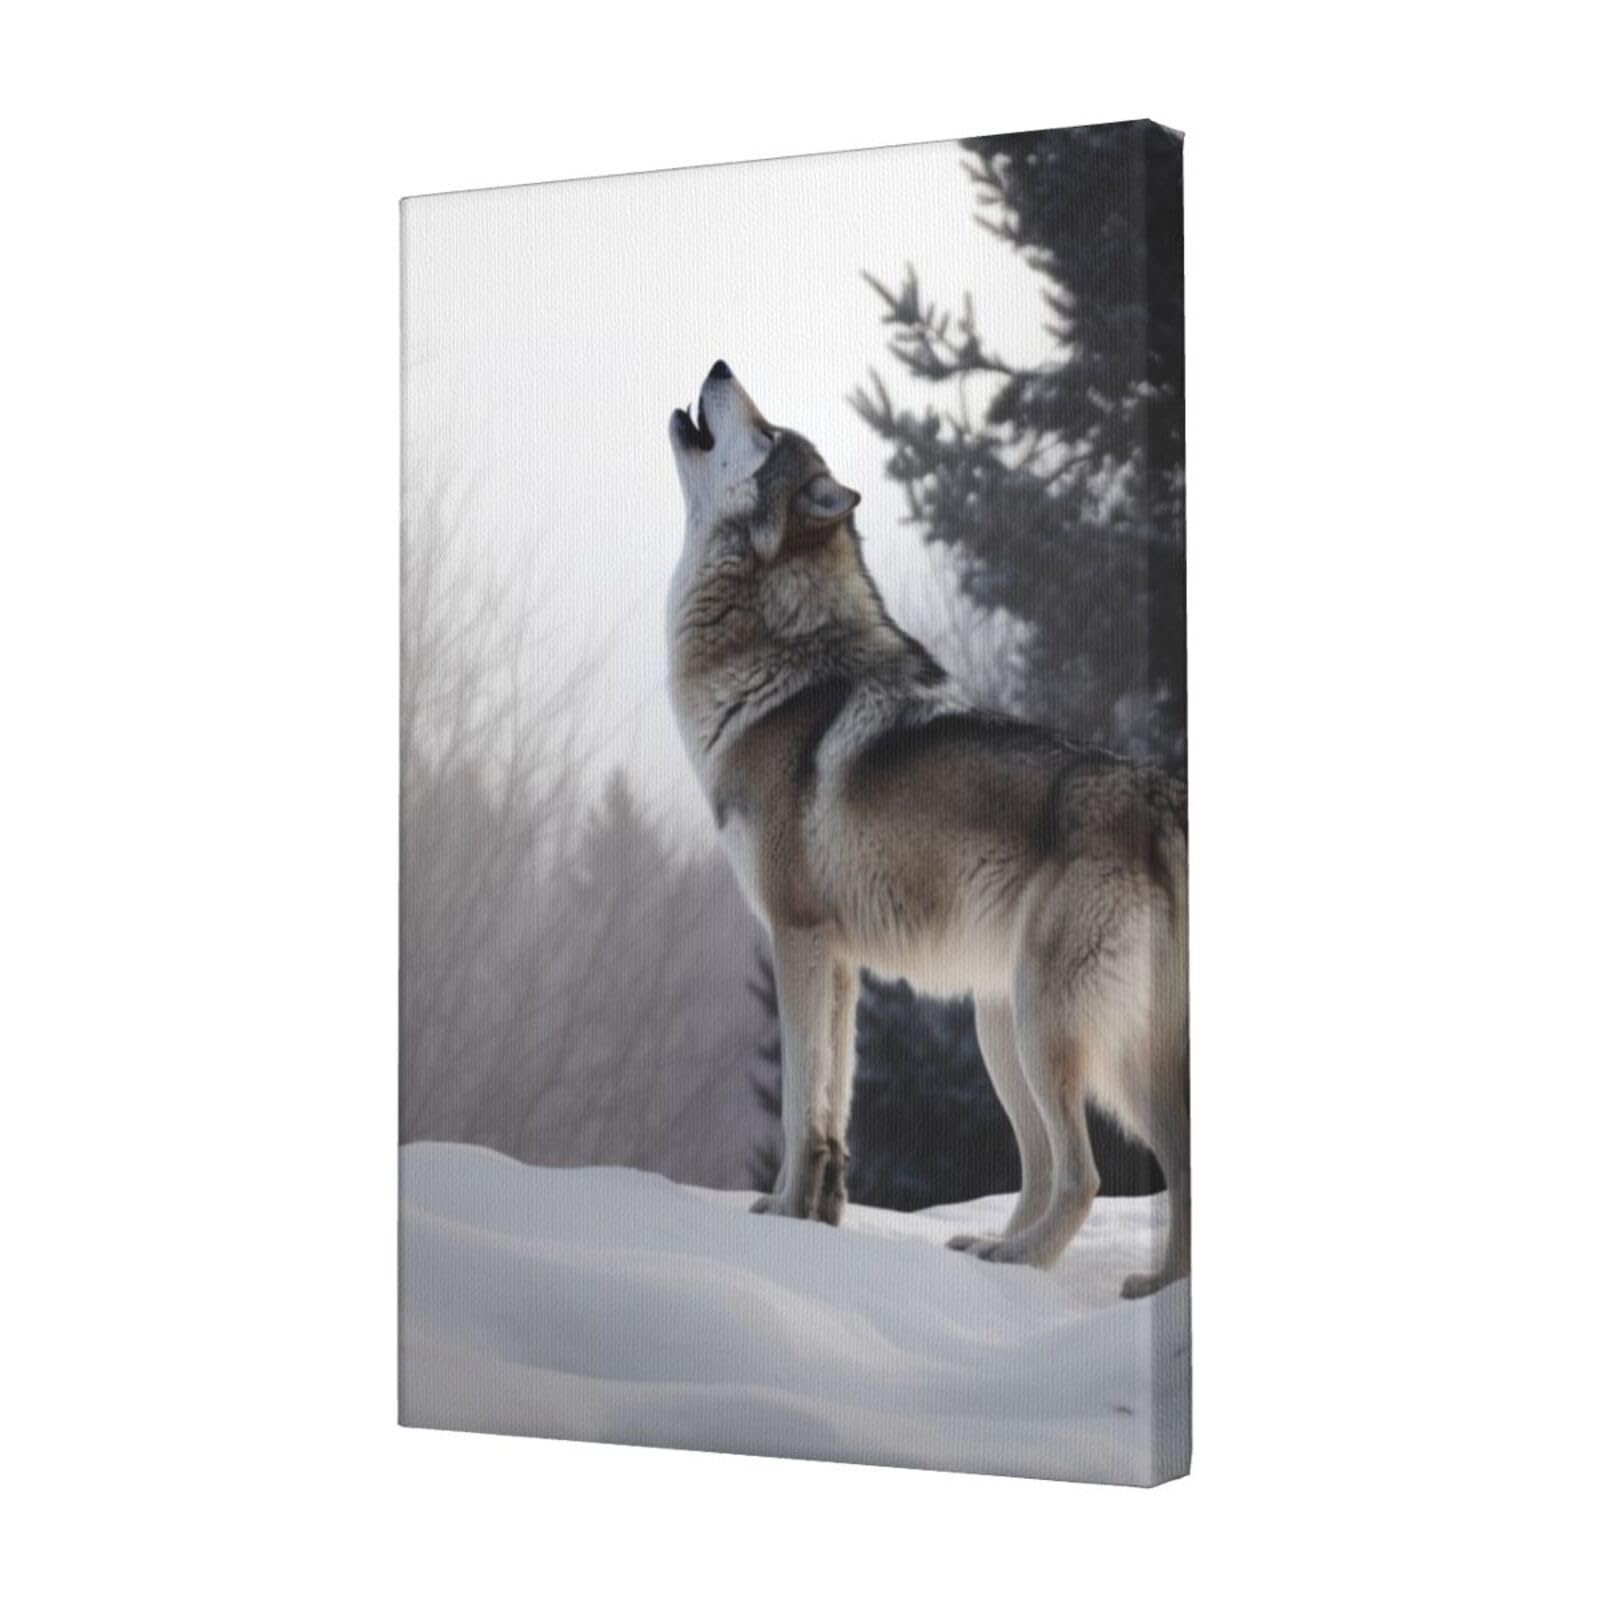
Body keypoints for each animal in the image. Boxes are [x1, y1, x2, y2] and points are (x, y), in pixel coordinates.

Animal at [666, 361, 1188, 1296]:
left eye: (766, 434)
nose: (721, 366)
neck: (776, 662)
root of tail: (1155, 792)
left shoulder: (796, 937)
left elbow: (797, 1105)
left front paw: (779, 1216)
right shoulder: (839, 962)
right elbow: (832, 1105)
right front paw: (818, 1218)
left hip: (1050, 1030)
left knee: (1084, 1174)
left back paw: (1020, 1264)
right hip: (1017, 1031)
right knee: (1128, 1165)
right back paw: (1117, 1279)